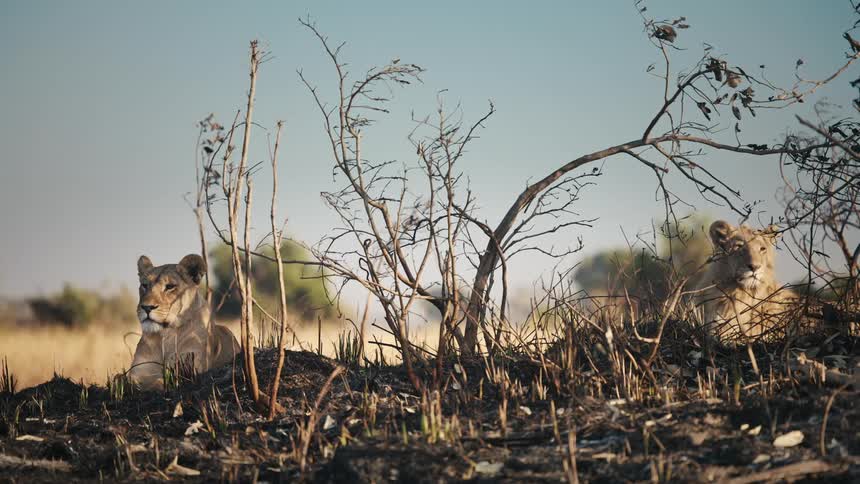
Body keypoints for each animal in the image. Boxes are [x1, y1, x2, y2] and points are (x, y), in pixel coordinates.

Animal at [128, 254, 239, 389]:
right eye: (144, 285)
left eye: (170, 286)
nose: (147, 307)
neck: (164, 335)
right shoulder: (139, 371)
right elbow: (129, 380)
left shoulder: (191, 369)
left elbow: (160, 381)